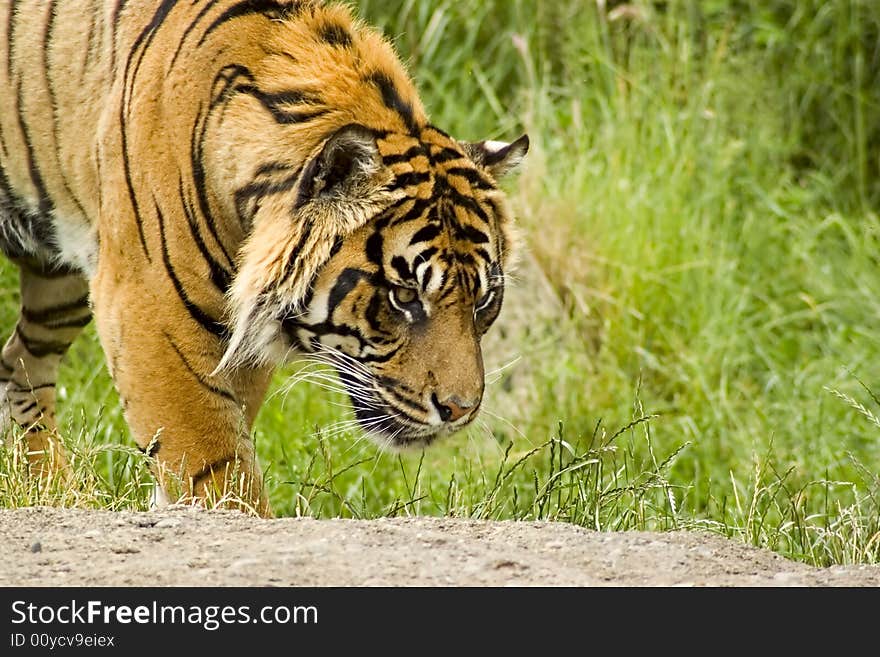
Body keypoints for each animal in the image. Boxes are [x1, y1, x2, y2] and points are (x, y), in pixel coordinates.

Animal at [0, 0, 528, 512]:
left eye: (483, 301)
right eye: (403, 297)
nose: (460, 410)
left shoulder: (236, 335)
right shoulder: (148, 310)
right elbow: (214, 466)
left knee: (21, 366)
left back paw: (48, 487)